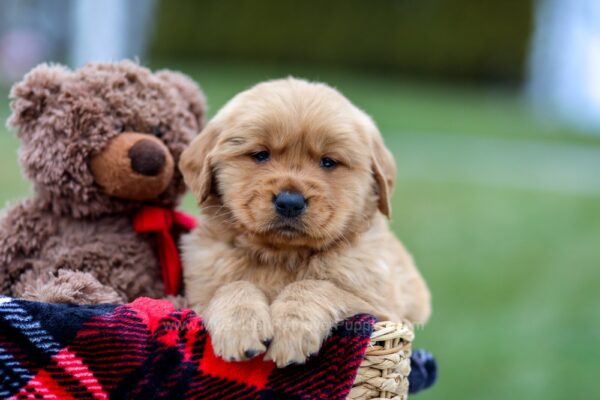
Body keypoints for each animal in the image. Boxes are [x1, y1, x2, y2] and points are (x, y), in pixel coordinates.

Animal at [179, 76, 432, 368]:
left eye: (328, 162)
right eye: (260, 155)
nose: (290, 202)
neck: (282, 257)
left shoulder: (381, 309)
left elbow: (318, 286)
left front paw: (291, 329)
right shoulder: (196, 296)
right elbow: (232, 285)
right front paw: (239, 326)